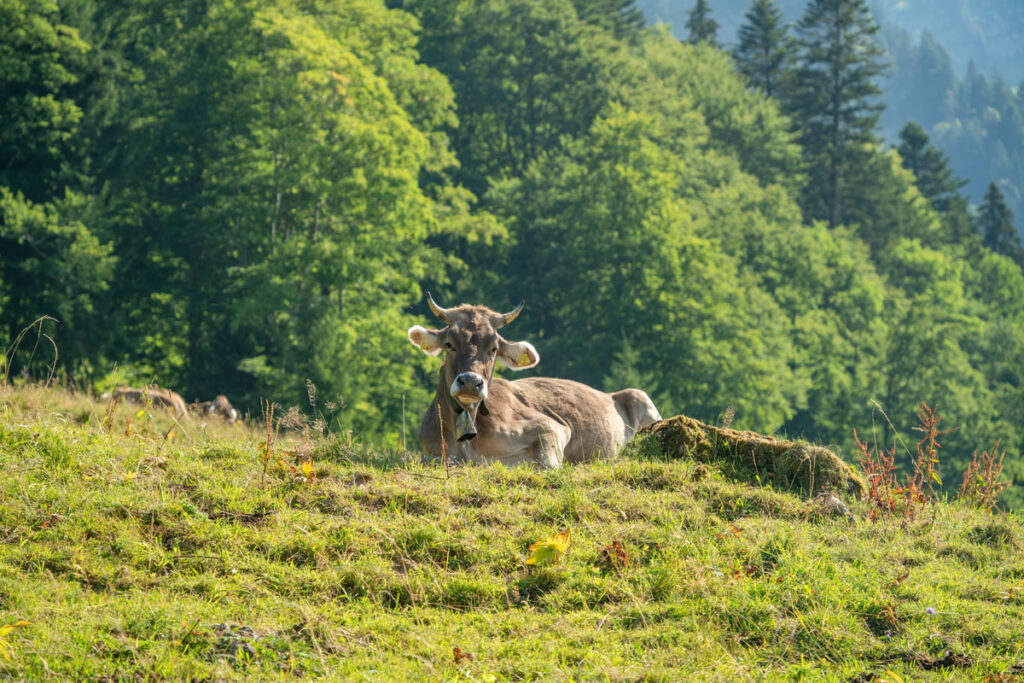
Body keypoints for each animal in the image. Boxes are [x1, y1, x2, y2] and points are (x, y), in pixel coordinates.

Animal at [407, 293, 661, 468]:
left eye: (494, 348)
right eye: (449, 344)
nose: (470, 381)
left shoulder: (551, 427)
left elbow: (547, 465)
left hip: (640, 397)